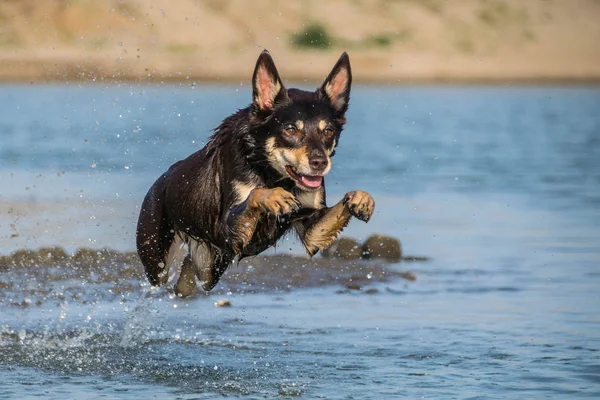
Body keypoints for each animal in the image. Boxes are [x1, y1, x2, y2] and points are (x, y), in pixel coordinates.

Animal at [138, 50, 378, 296]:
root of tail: (162, 180)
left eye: (328, 131)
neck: (271, 172)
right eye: (291, 129)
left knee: (192, 269)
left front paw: (360, 198)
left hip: (211, 265)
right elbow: (255, 194)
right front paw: (273, 196)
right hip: (156, 256)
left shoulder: (312, 233)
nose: (320, 163)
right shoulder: (224, 229)